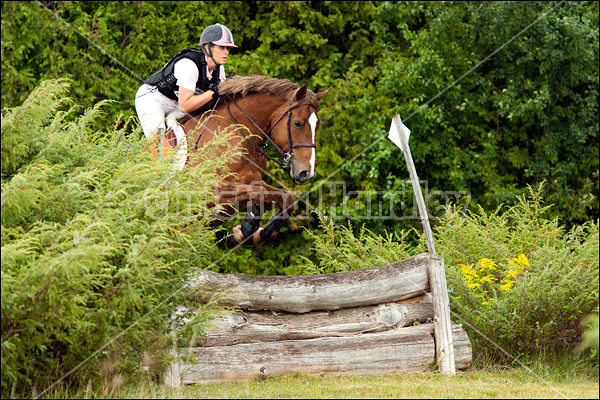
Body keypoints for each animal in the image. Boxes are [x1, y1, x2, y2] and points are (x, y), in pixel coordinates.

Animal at [178, 75, 330, 248]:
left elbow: (287, 198)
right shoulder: (209, 189)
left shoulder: (254, 181)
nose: (307, 173)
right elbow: (260, 194)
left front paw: (255, 234)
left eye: (317, 125)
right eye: (297, 123)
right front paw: (242, 232)